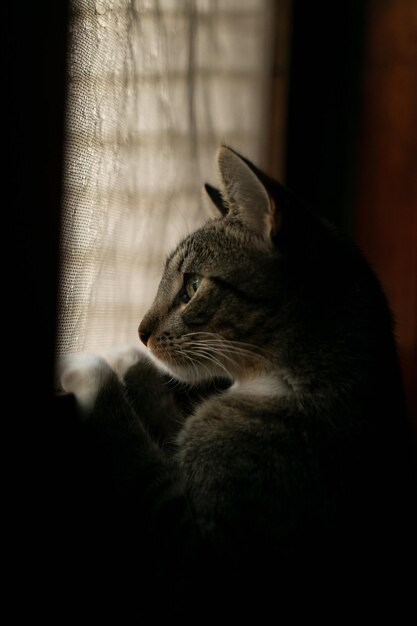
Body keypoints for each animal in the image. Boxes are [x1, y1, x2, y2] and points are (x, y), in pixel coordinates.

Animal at [57, 146, 414, 620]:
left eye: (192, 286)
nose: (139, 332)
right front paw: (127, 356)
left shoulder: (206, 565)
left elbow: (138, 458)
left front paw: (91, 363)